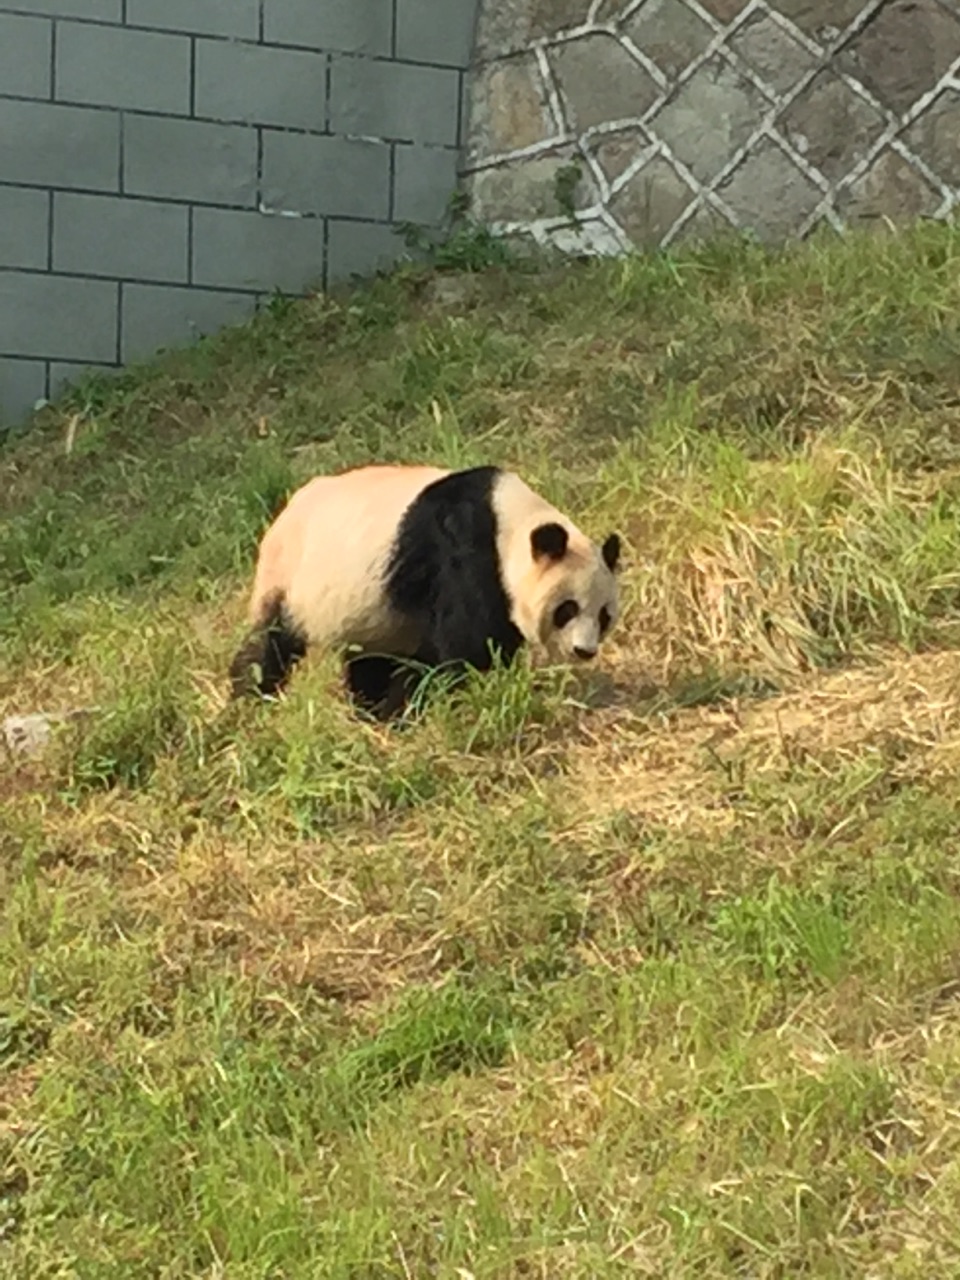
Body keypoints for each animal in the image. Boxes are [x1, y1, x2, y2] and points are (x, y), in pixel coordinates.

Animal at [231, 463, 624, 721]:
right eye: (567, 609)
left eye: (604, 616)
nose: (584, 650)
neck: (510, 524)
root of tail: (282, 514)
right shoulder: (462, 553)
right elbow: (466, 644)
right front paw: (453, 696)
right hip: (291, 578)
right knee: (270, 643)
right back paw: (250, 699)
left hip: (369, 610)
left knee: (370, 660)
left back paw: (373, 711)